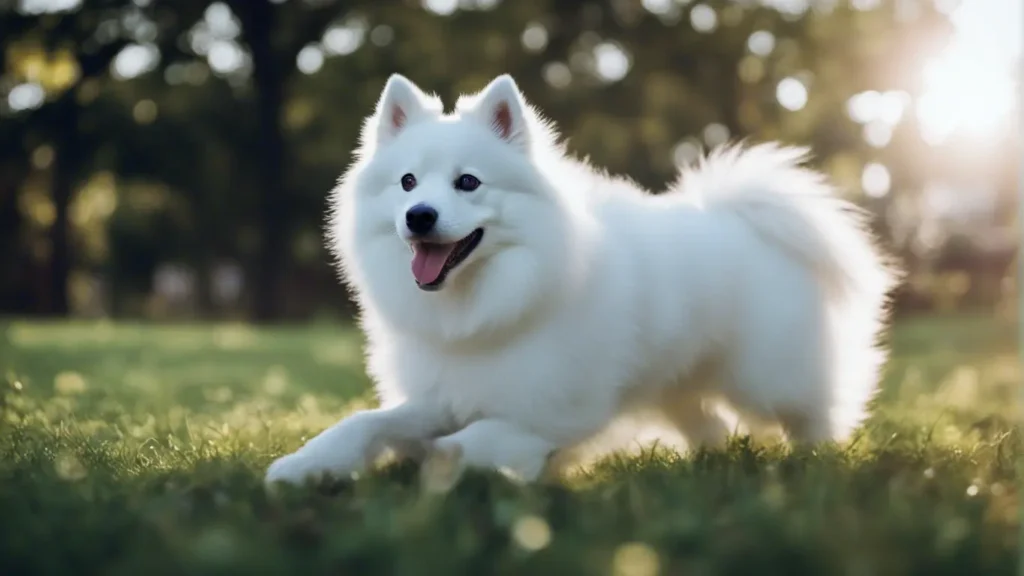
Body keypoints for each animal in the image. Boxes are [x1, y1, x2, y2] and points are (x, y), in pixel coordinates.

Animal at [264, 71, 897, 483]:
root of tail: (739, 218)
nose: (418, 216)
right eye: (407, 183)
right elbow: (366, 423)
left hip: (769, 376)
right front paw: (307, 465)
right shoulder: (447, 390)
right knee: (710, 427)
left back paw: (814, 463)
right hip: (676, 383)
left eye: (468, 182)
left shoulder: (551, 411)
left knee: (814, 415)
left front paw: (447, 463)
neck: (486, 304)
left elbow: (465, 445)